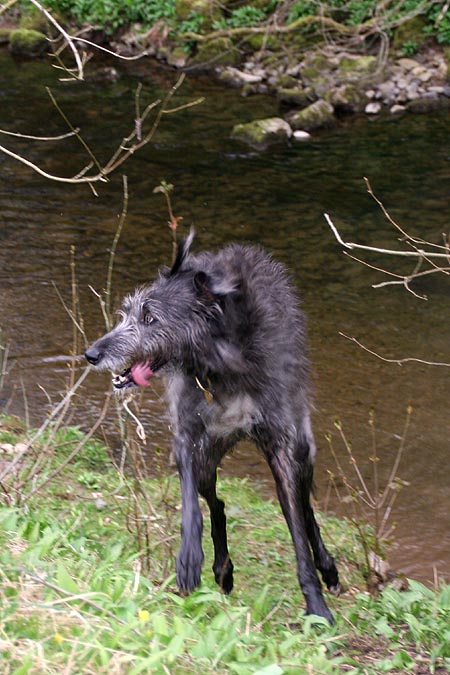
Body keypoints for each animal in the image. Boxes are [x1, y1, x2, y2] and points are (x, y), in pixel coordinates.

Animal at [85, 232, 340, 623]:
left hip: (303, 448)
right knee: (216, 501)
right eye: (126, 313)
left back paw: (327, 565)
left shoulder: (280, 443)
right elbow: (191, 506)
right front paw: (189, 559)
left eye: (150, 317)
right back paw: (222, 568)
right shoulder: (187, 433)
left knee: (305, 506)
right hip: (210, 455)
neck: (221, 360)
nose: (92, 354)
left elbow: (297, 529)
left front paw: (316, 605)